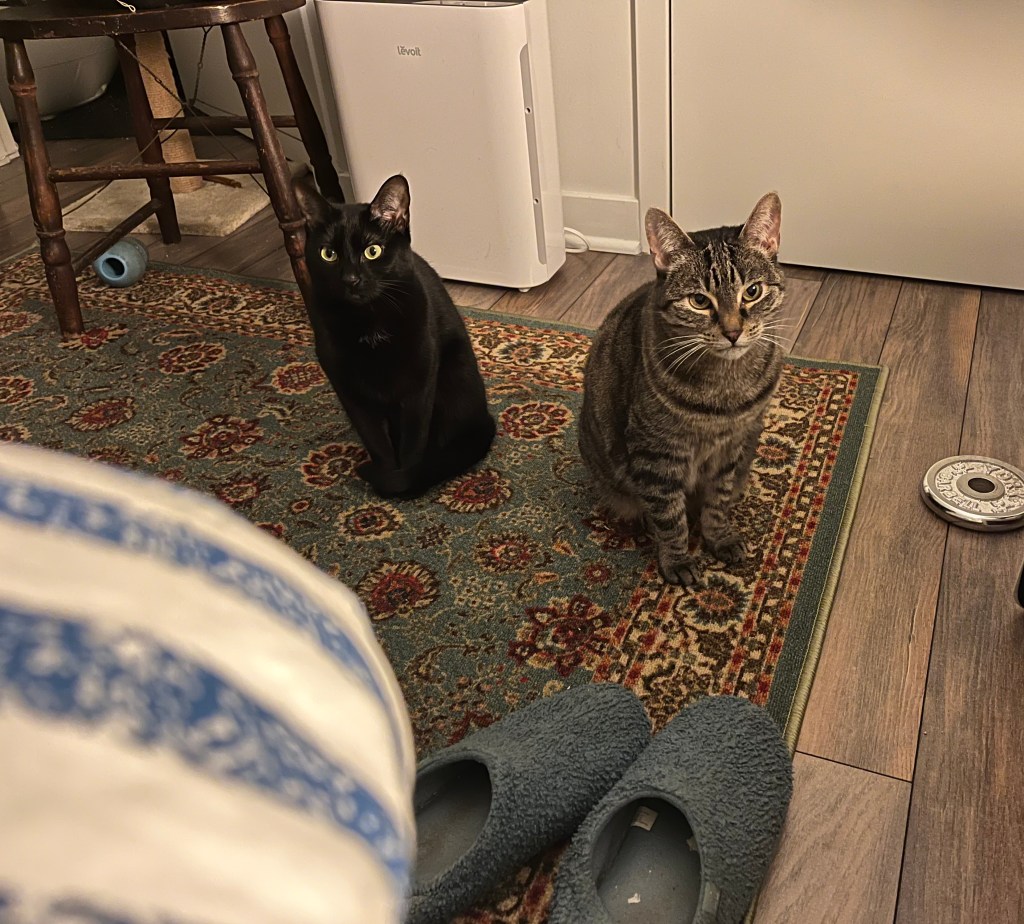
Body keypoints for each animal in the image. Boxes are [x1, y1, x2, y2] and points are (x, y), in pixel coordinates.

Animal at [293, 173, 496, 499]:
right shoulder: (350, 392)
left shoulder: (418, 388)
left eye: (372, 251)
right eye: (328, 254)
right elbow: (377, 444)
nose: (351, 279)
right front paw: (387, 479)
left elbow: (412, 444)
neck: (370, 323)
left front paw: (406, 484)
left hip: (453, 375)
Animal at [578, 193, 786, 587]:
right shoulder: (657, 453)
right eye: (699, 301)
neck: (724, 386)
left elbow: (718, 500)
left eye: (752, 292)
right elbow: (669, 515)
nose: (733, 332)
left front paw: (719, 537)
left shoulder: (731, 447)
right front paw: (677, 559)